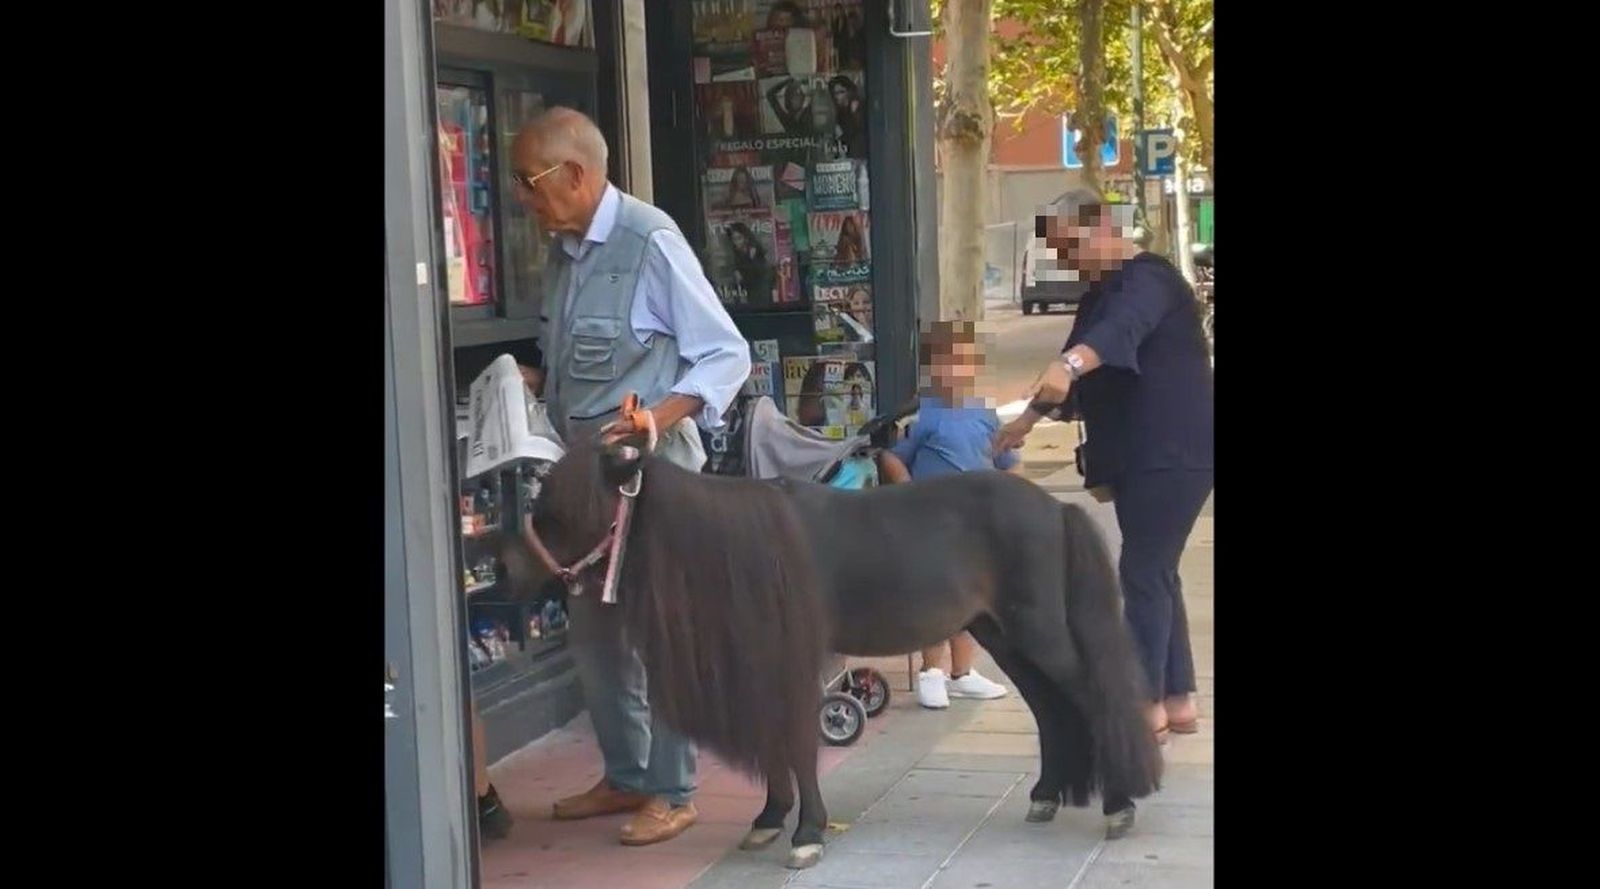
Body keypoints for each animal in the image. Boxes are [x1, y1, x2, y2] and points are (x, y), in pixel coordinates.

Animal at [499, 436, 1162, 869]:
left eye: (562, 511)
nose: (508, 574)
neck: (737, 547)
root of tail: (1056, 507)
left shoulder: (790, 659)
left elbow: (796, 743)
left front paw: (807, 833)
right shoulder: (765, 659)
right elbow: (777, 744)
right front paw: (769, 821)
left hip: (1039, 632)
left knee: (1090, 698)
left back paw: (1120, 804)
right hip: (1004, 635)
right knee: (1050, 711)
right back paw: (1048, 795)